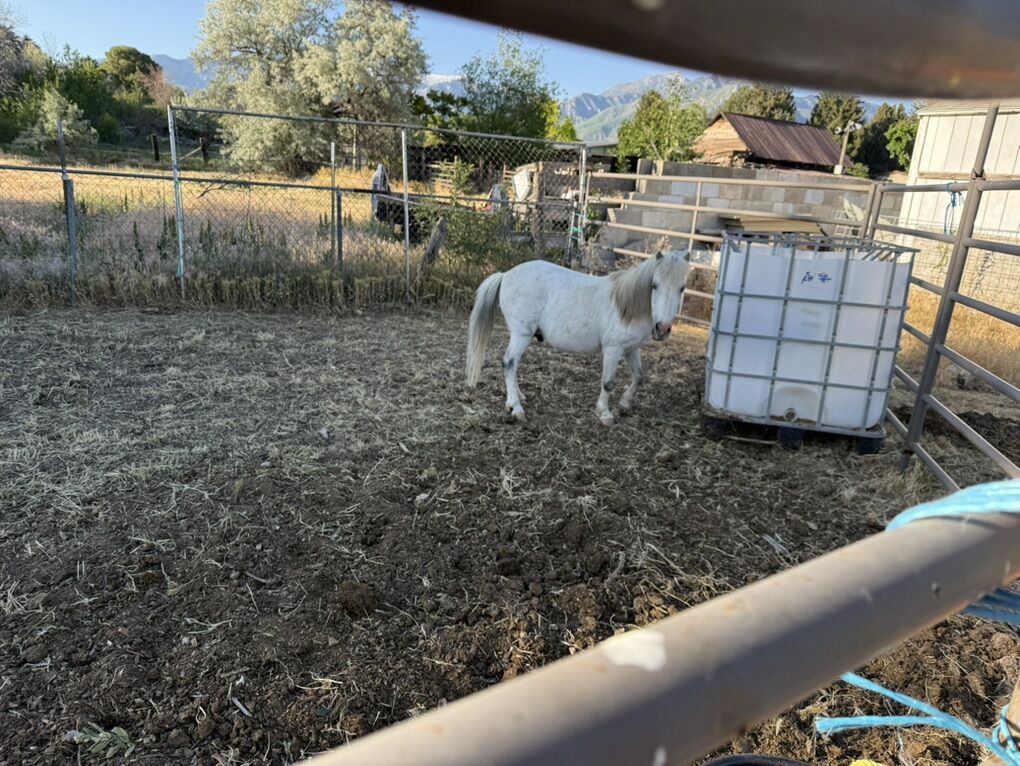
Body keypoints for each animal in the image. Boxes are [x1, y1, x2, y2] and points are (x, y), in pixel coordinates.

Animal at [465, 251, 690, 425]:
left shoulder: (632, 349)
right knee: (509, 363)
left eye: (682, 287)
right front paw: (605, 413)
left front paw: (625, 404)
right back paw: (516, 408)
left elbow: (639, 376)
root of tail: (506, 275)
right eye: (654, 285)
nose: (662, 328)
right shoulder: (613, 349)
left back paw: (516, 397)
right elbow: (608, 382)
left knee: (512, 365)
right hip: (522, 334)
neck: (626, 305)